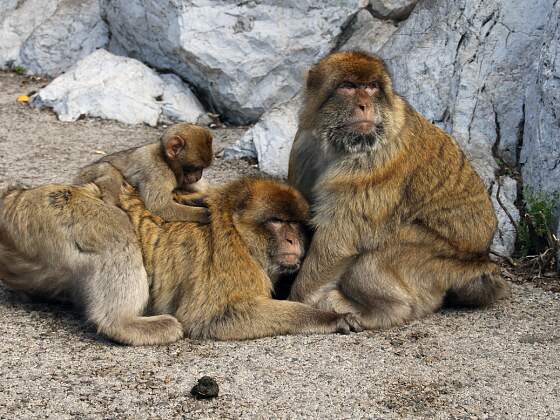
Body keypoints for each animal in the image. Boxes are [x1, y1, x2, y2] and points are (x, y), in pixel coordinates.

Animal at [0, 177, 360, 344]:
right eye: (276, 221)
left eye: (296, 225)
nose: (292, 240)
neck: (238, 233)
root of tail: (14, 199)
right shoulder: (234, 264)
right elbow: (214, 318)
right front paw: (329, 317)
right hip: (48, 212)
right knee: (116, 230)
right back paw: (124, 325)